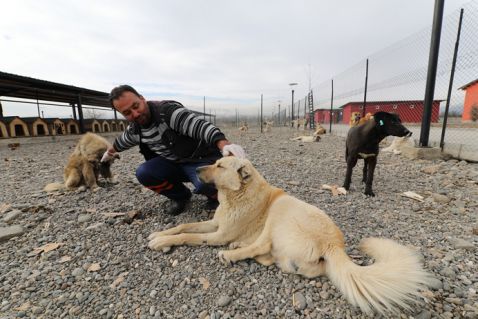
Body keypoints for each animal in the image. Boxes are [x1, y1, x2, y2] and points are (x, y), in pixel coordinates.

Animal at [149, 157, 434, 316]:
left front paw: (162, 241)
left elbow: (187, 235)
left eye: (219, 165)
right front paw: (159, 234)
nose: (197, 170)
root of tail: (333, 245)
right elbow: (184, 227)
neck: (238, 194)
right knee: (270, 255)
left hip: (281, 211)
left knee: (260, 247)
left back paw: (232, 253)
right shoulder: (214, 223)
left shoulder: (219, 234)